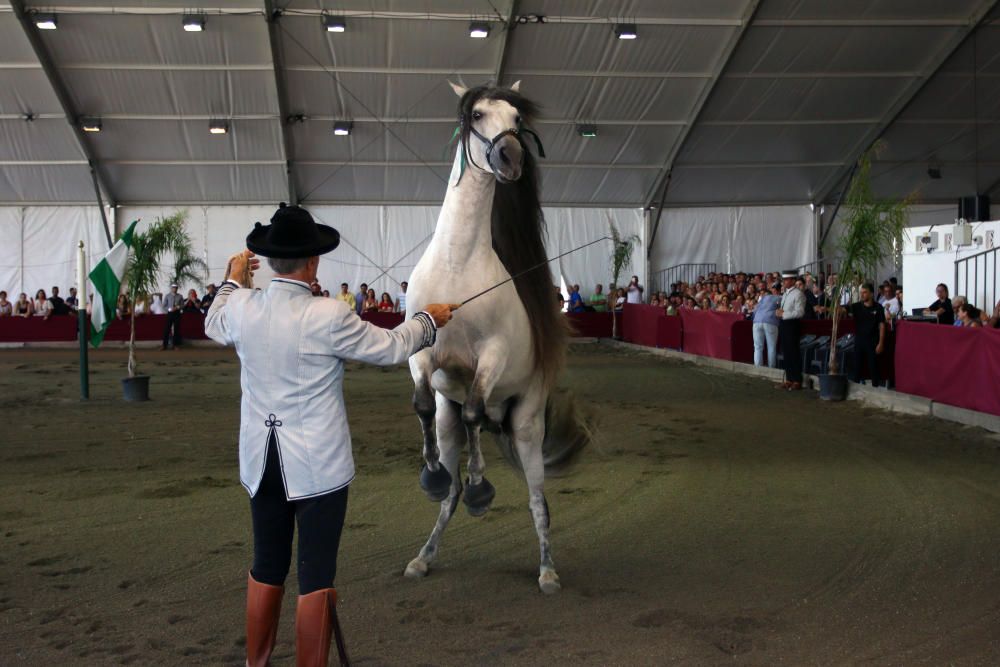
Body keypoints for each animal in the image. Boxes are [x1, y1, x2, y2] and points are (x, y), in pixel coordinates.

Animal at [400, 82, 584, 596]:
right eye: (478, 114)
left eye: (517, 119)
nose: (511, 157)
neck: (457, 266)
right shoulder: (422, 354)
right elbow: (422, 403)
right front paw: (431, 477)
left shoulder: (491, 358)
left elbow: (477, 412)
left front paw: (483, 490)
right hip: (451, 423)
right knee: (451, 485)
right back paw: (423, 556)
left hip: (526, 425)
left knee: (538, 502)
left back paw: (547, 571)